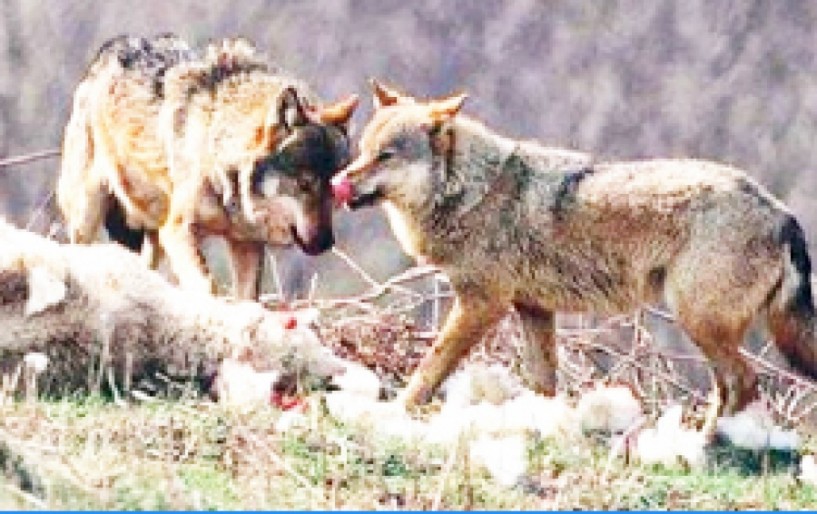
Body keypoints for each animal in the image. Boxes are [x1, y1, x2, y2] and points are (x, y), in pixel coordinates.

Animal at [59, 34, 358, 298]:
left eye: (334, 186)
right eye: (304, 183)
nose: (326, 243)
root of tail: (109, 49)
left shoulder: (246, 245)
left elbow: (248, 299)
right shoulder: (178, 231)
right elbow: (208, 286)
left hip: (153, 232)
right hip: (88, 217)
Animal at [332, 80, 816, 416]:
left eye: (387, 156)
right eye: (362, 151)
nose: (338, 182)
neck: (469, 192)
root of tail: (783, 213)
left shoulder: (481, 304)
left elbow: (431, 365)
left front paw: (399, 410)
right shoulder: (533, 308)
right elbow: (544, 382)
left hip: (697, 320)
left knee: (745, 381)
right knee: (733, 386)